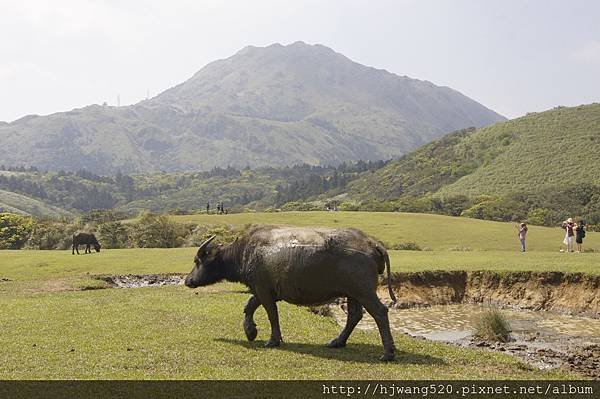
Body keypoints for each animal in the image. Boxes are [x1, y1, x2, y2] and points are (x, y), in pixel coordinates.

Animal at [183, 227, 398, 360]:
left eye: (197, 261)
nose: (188, 280)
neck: (245, 252)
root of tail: (372, 244)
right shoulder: (266, 290)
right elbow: (250, 305)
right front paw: (250, 331)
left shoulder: (263, 290)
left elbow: (271, 314)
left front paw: (272, 340)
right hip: (352, 293)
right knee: (354, 315)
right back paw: (337, 342)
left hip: (363, 291)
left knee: (379, 312)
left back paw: (388, 353)